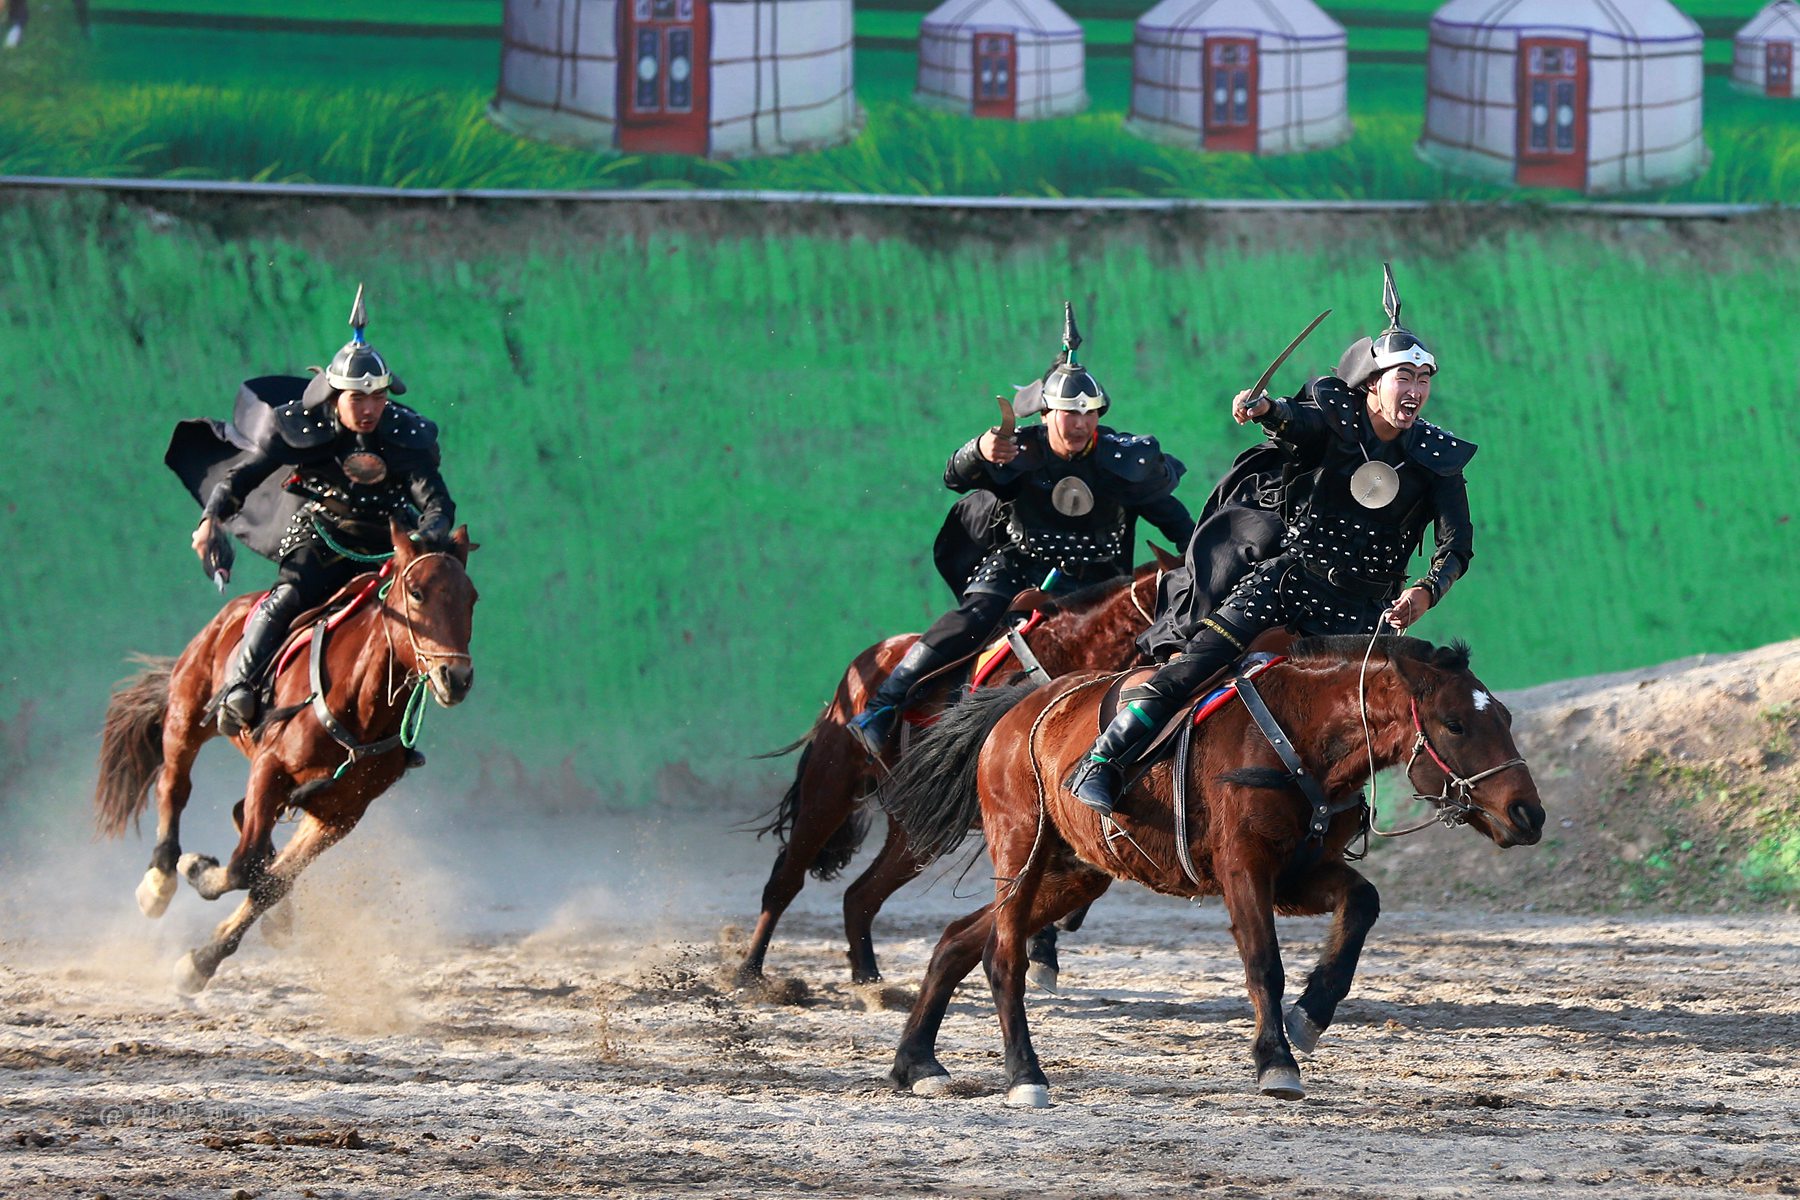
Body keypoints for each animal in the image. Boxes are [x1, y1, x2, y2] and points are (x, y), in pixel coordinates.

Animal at [95, 521, 478, 1000]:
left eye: (471, 597)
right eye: (417, 592)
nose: (456, 677)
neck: (359, 705)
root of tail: (232, 611)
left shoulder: (341, 813)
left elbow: (270, 881)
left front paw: (201, 961)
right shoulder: (270, 768)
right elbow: (243, 866)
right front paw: (198, 870)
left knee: (245, 826)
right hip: (187, 713)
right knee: (175, 787)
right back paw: (159, 881)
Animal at [730, 550, 1180, 993]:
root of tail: (860, 669)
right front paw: (1042, 946)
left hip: (915, 831)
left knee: (860, 896)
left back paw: (869, 978)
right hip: (831, 787)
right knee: (787, 880)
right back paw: (750, 972)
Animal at [878, 633, 1540, 1115]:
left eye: (1506, 718)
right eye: (1455, 723)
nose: (1527, 814)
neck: (1292, 737)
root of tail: (1013, 716)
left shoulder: (1298, 875)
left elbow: (1362, 906)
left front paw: (1310, 1015)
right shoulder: (1244, 867)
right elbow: (1264, 963)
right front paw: (1276, 1061)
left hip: (1076, 871)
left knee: (960, 938)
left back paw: (917, 1063)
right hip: (1022, 851)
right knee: (1003, 954)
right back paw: (1024, 1074)